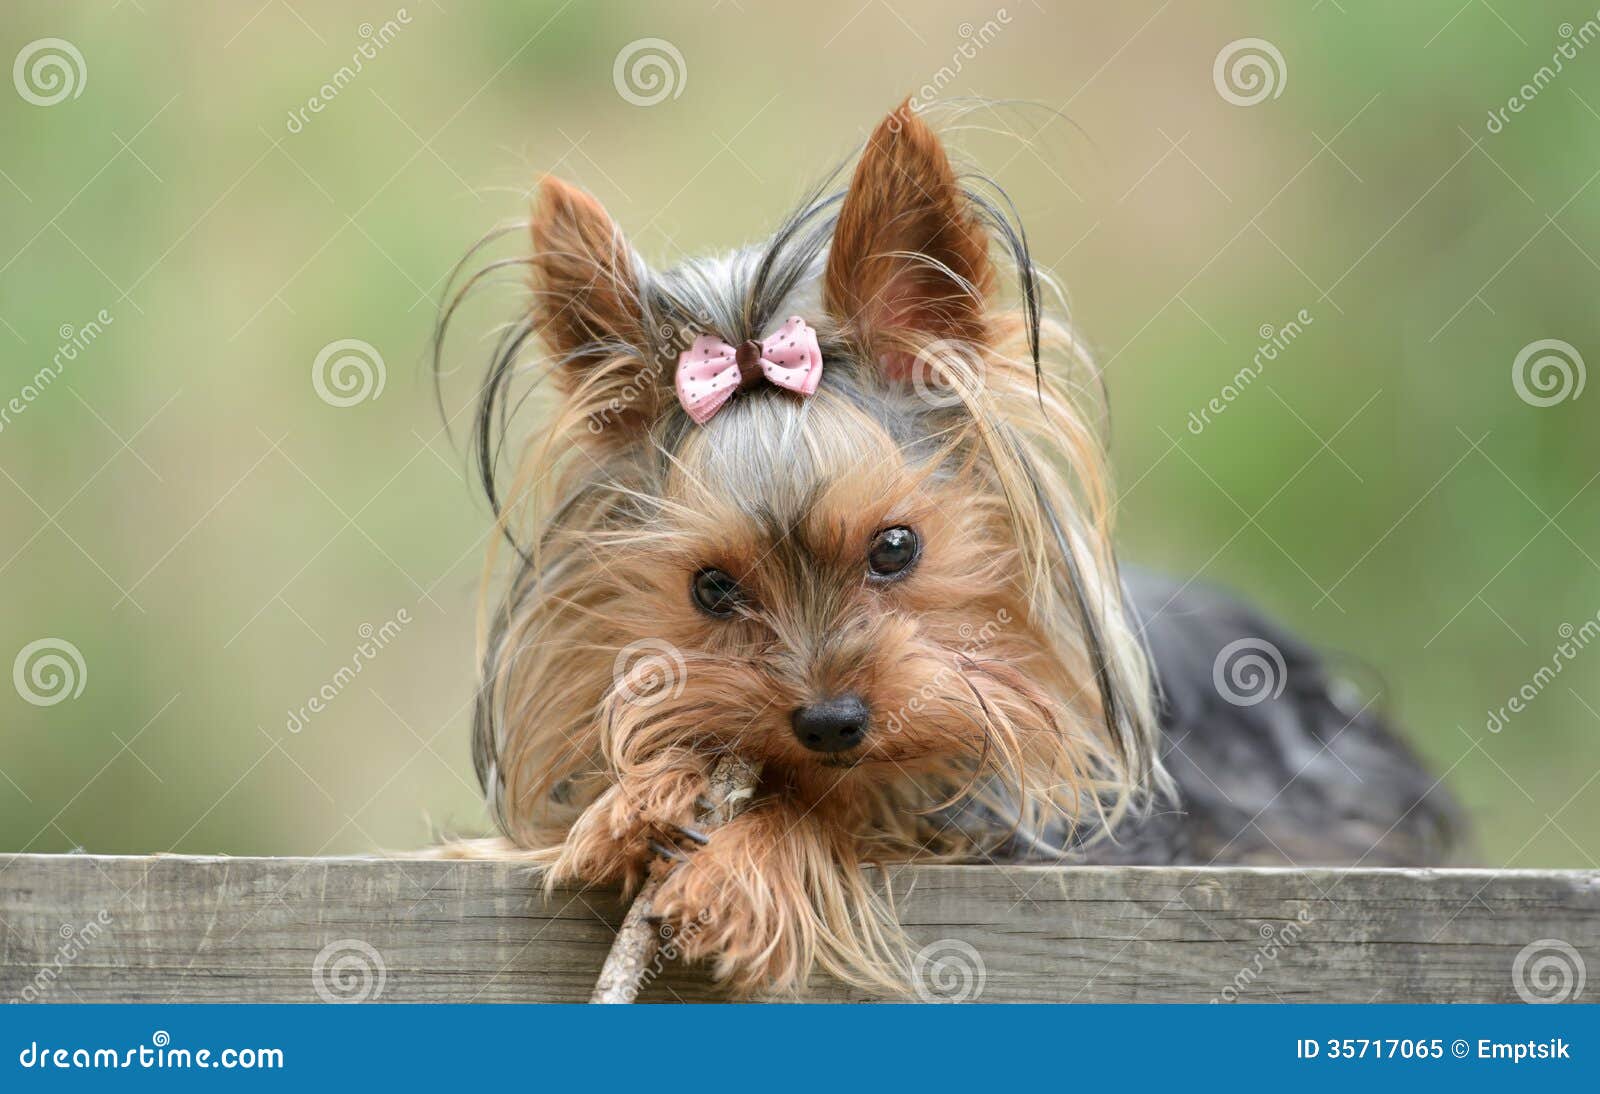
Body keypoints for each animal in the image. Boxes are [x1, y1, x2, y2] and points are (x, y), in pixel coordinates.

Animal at [436, 101, 1460, 997]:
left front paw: (749, 857)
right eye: (712, 589)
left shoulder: (1039, 820)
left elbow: (856, 817)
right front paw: (642, 796)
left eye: (895, 547)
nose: (830, 722)